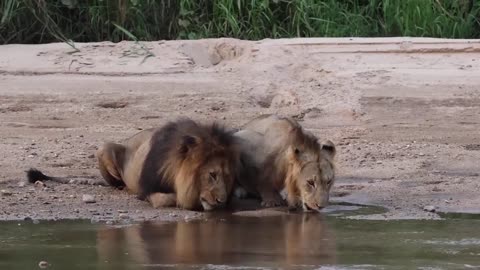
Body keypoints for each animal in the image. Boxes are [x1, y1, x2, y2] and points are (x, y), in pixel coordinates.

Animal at [25, 118, 239, 211]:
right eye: (212, 175)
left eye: (228, 176)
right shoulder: (148, 187)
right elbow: (166, 199)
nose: (221, 201)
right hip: (104, 148)